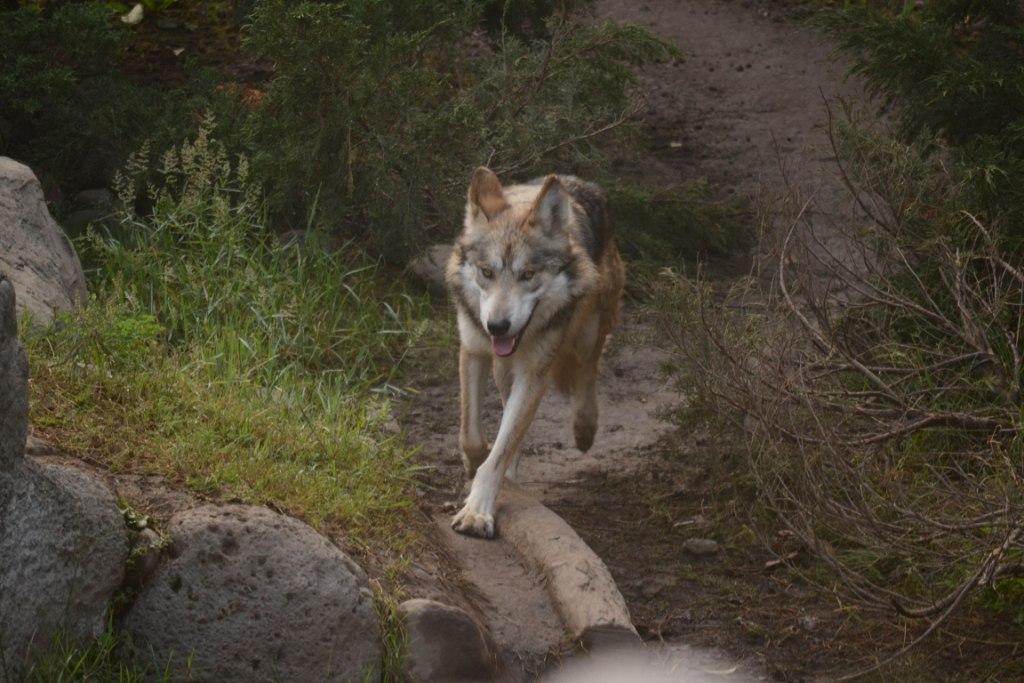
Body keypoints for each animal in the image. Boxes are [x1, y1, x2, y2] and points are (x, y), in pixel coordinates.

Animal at [445, 166, 625, 538]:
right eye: (487, 272)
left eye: (528, 274)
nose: (497, 326)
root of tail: (576, 181)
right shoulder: (473, 350)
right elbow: (473, 436)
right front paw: (474, 465)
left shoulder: (534, 375)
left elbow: (499, 452)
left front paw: (477, 512)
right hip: (503, 369)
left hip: (587, 334)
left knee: (588, 372)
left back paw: (584, 429)